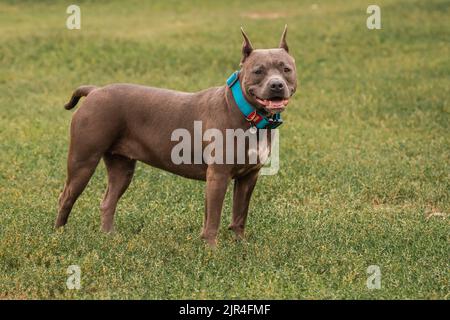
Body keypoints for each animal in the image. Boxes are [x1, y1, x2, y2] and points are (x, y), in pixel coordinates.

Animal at [54, 26, 298, 248]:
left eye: (286, 69)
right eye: (258, 71)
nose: (276, 85)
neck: (247, 114)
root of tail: (95, 91)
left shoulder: (248, 177)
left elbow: (239, 215)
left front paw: (240, 246)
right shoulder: (218, 176)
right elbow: (213, 218)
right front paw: (212, 251)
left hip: (122, 168)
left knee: (108, 201)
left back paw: (109, 237)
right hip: (83, 161)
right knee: (66, 197)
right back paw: (59, 235)